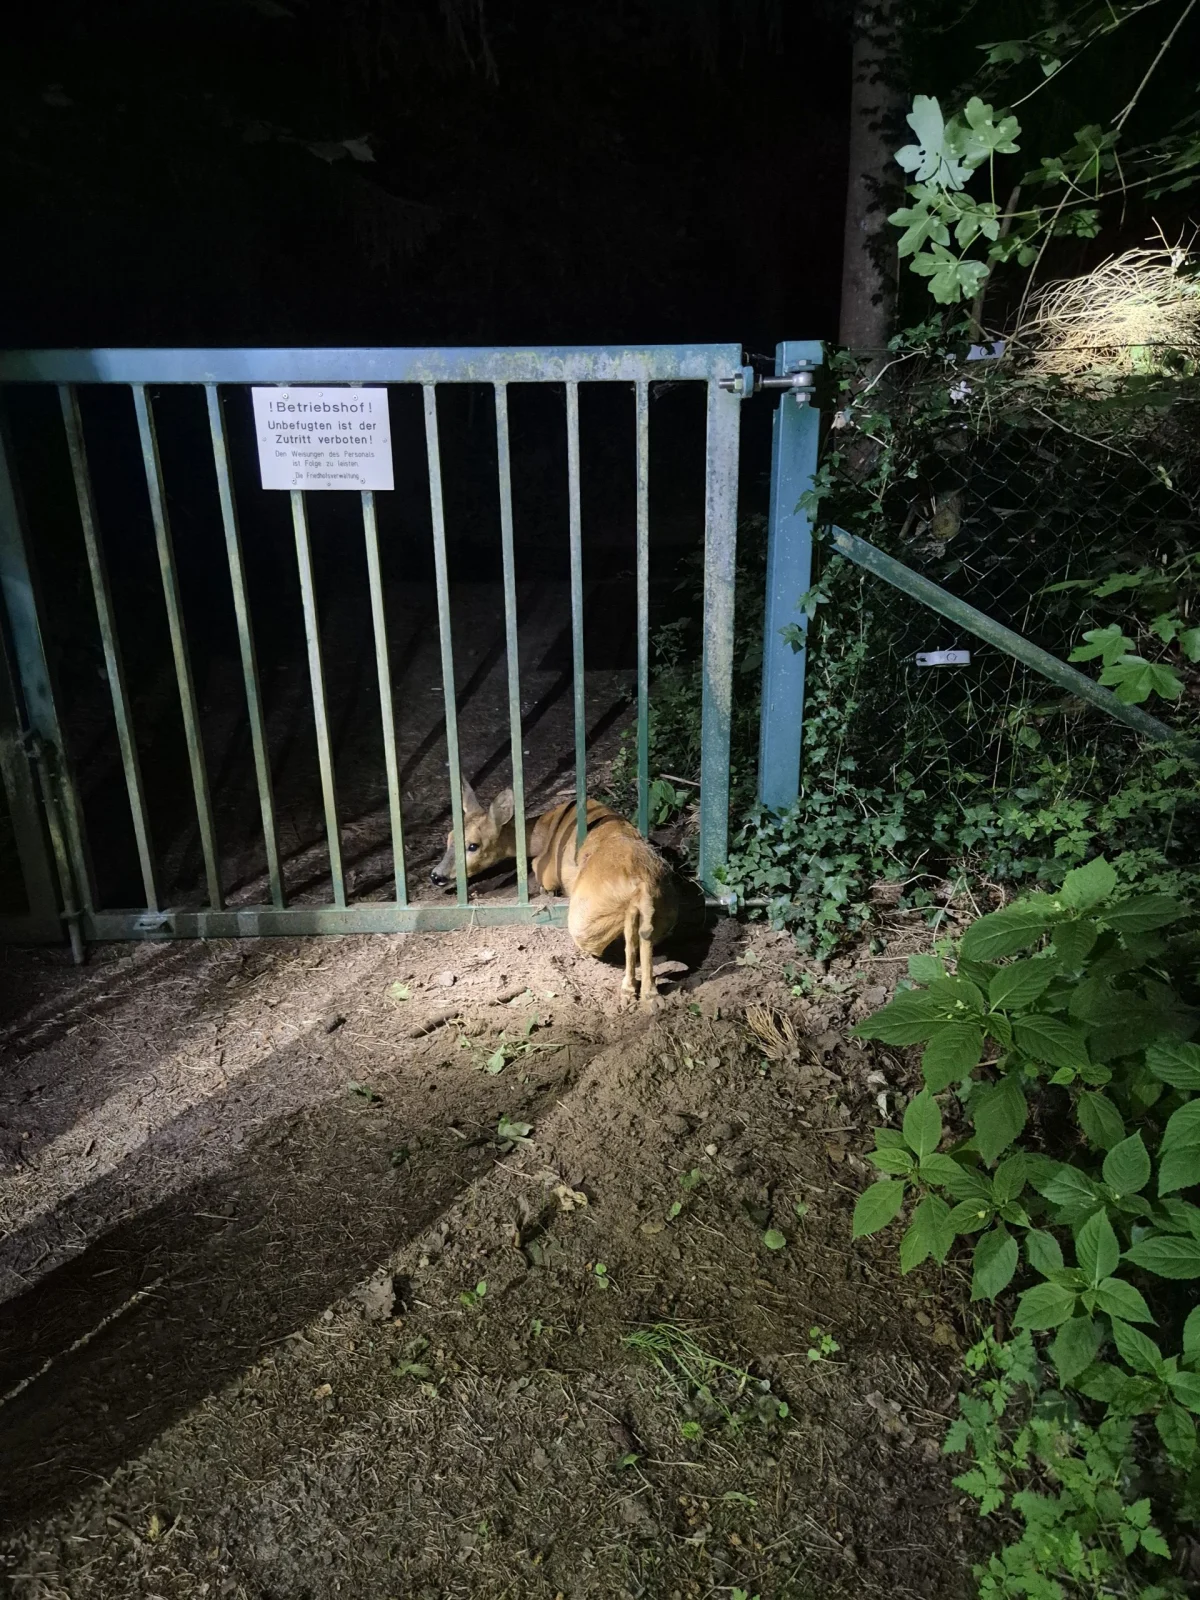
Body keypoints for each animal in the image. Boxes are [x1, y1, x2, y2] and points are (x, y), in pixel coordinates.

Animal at [430, 776, 684, 1007]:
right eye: (449, 839)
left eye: (473, 845)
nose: (436, 876)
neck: (544, 831)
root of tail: (641, 885)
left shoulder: (546, 869)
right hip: (666, 910)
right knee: (646, 935)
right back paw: (652, 995)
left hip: (585, 919)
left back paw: (631, 991)